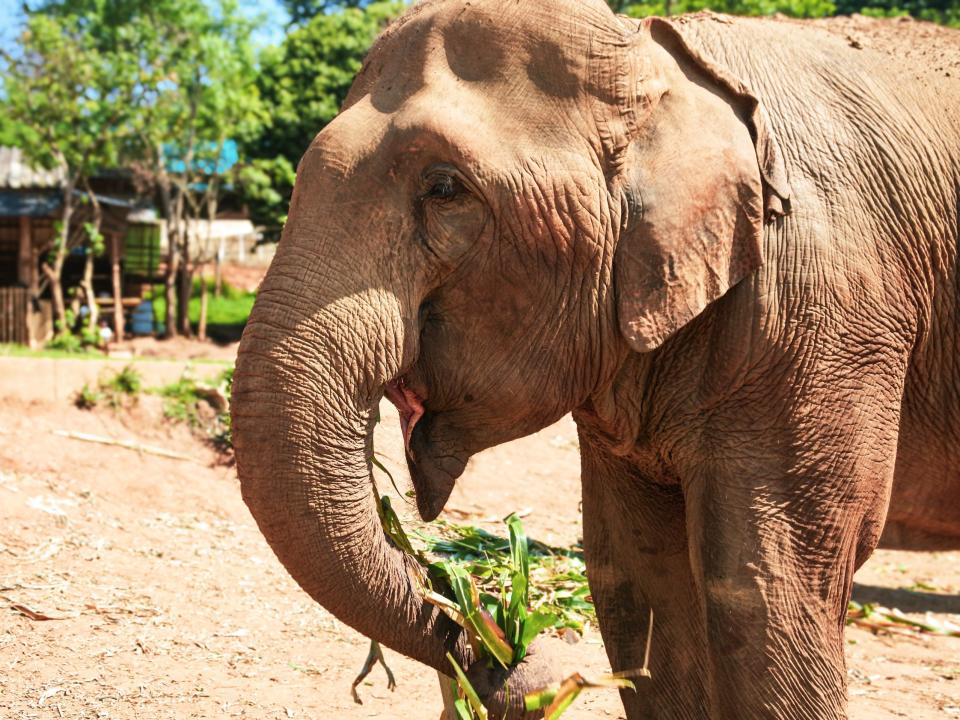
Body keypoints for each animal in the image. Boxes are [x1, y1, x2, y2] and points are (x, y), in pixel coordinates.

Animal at [232, 2, 960, 716]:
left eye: (444, 188)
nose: (512, 659)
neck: (651, 52)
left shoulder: (824, 318)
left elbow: (764, 586)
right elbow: (641, 578)